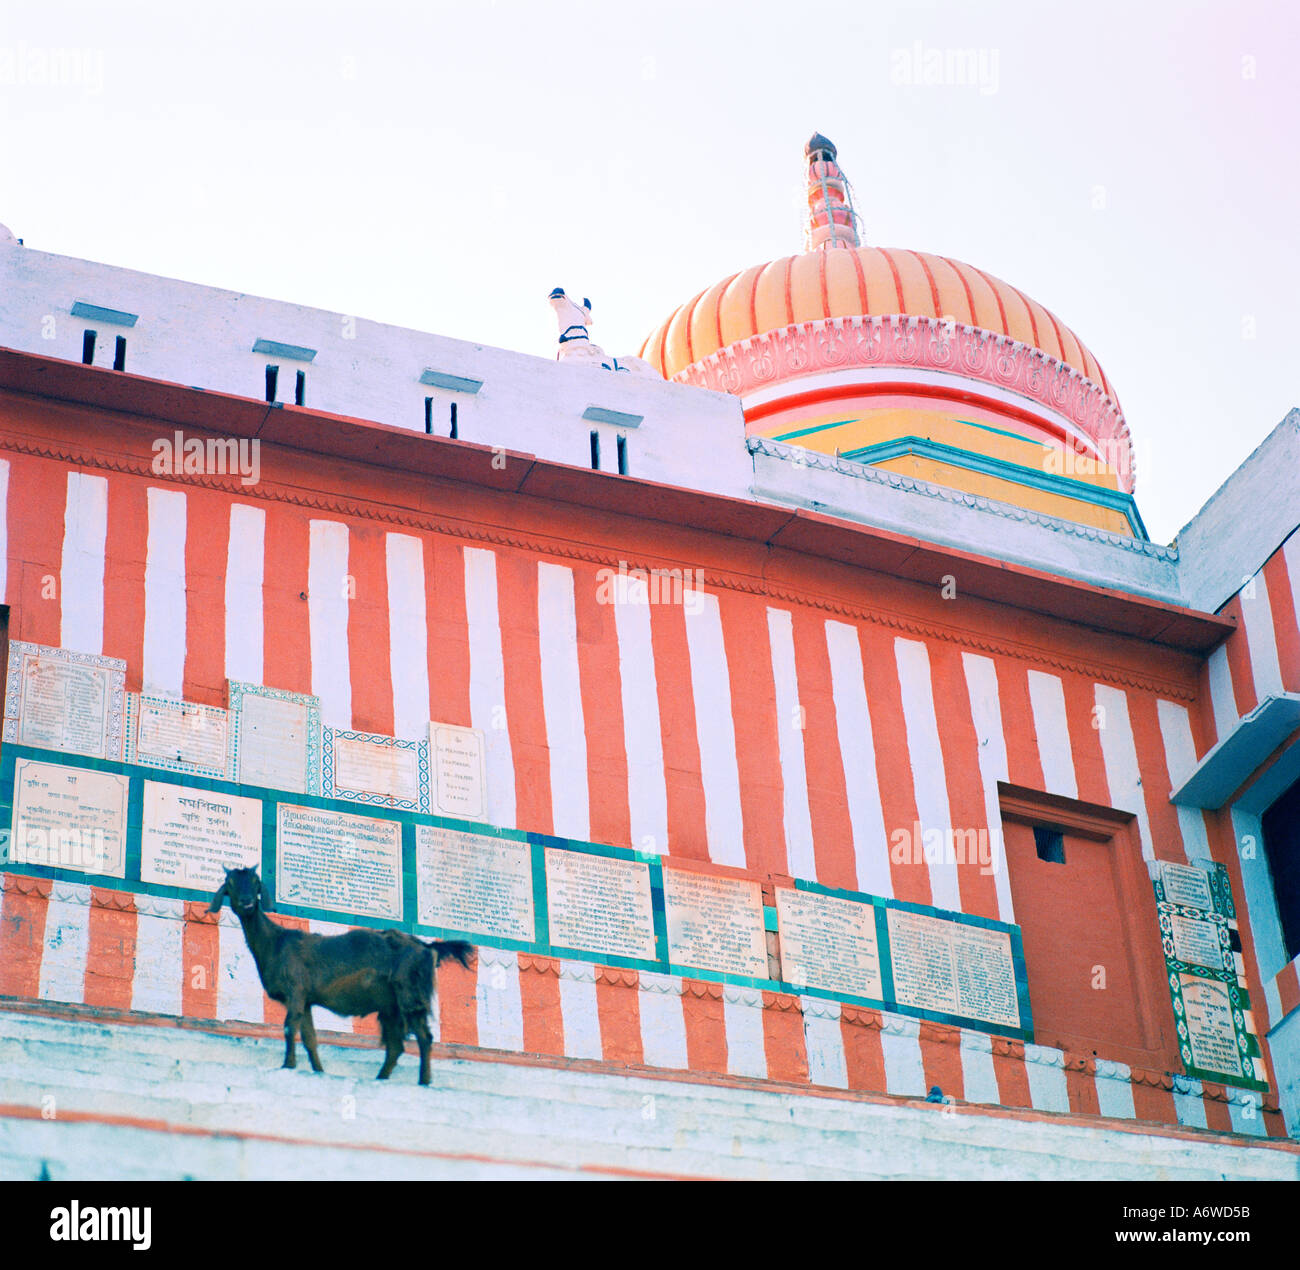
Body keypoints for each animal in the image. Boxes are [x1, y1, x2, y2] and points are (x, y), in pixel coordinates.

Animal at [210, 863, 475, 1081]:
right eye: (230, 883)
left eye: (255, 881)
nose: (246, 902)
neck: (275, 942)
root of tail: (426, 946)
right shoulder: (306, 1000)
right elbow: (310, 1038)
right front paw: (319, 1071)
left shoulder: (295, 991)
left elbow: (289, 1027)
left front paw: (288, 1065)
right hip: (390, 1006)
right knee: (395, 1046)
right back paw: (381, 1078)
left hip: (410, 995)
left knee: (423, 1037)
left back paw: (424, 1081)